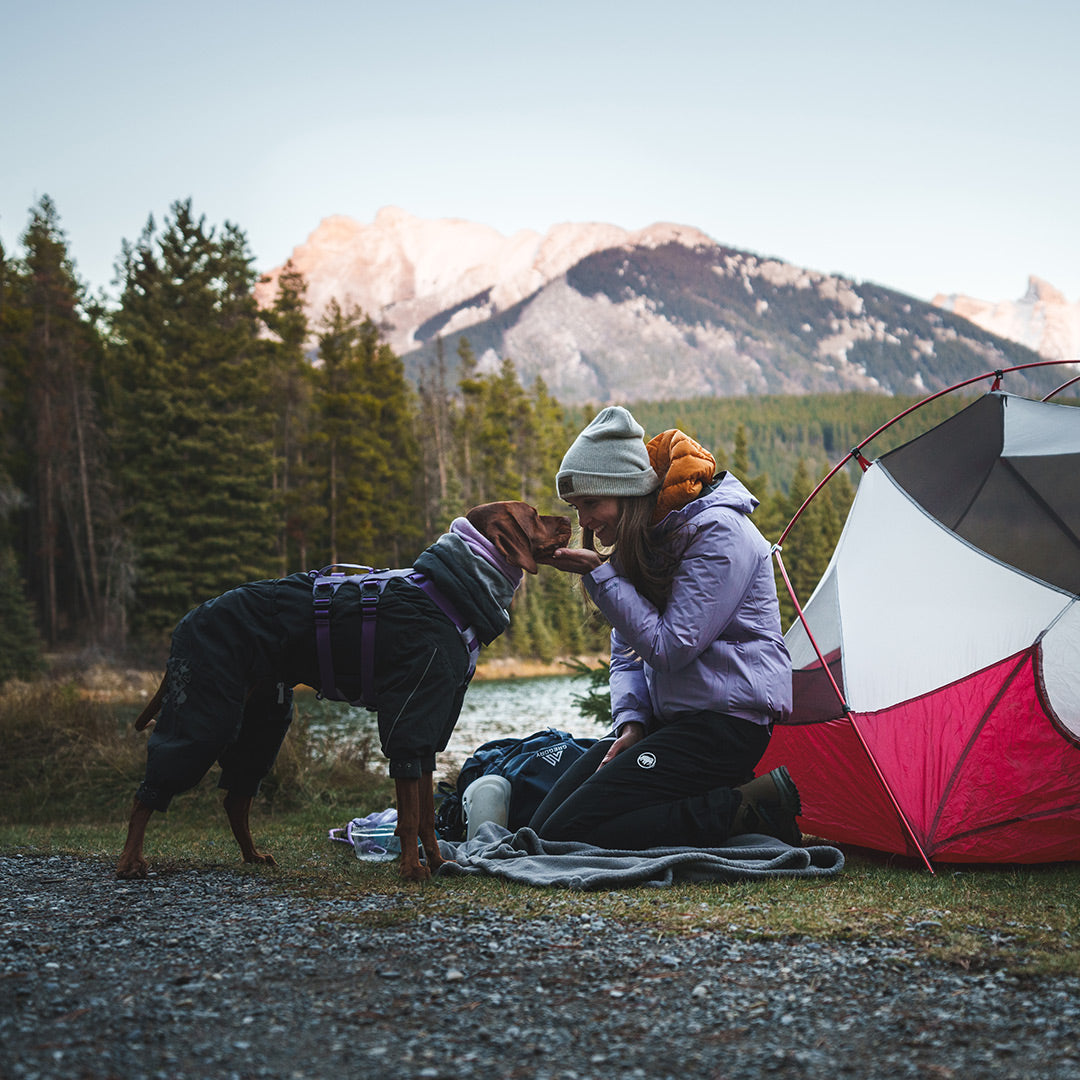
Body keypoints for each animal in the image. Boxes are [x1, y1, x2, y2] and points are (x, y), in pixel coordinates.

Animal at [116, 501, 574, 881]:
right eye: (534, 515)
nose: (571, 517)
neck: (449, 590)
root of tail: (188, 618)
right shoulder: (408, 716)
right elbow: (409, 816)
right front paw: (412, 870)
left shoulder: (430, 726)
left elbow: (426, 815)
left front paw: (438, 863)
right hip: (205, 710)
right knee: (147, 793)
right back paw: (131, 862)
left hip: (263, 722)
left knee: (236, 797)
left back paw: (252, 855)